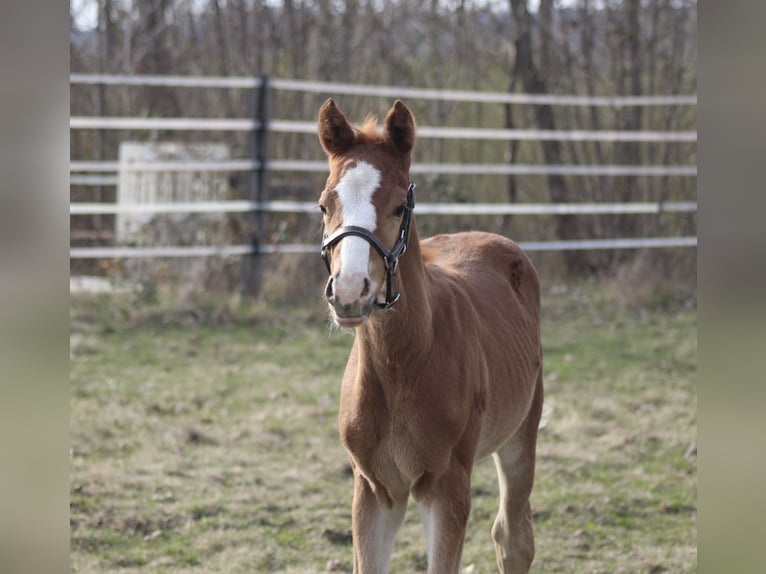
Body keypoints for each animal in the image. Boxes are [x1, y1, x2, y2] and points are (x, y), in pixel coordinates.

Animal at [317, 98, 543, 574]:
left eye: (399, 207)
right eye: (325, 206)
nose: (349, 292)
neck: (402, 365)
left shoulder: (446, 487)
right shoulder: (372, 489)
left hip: (522, 430)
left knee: (513, 537)